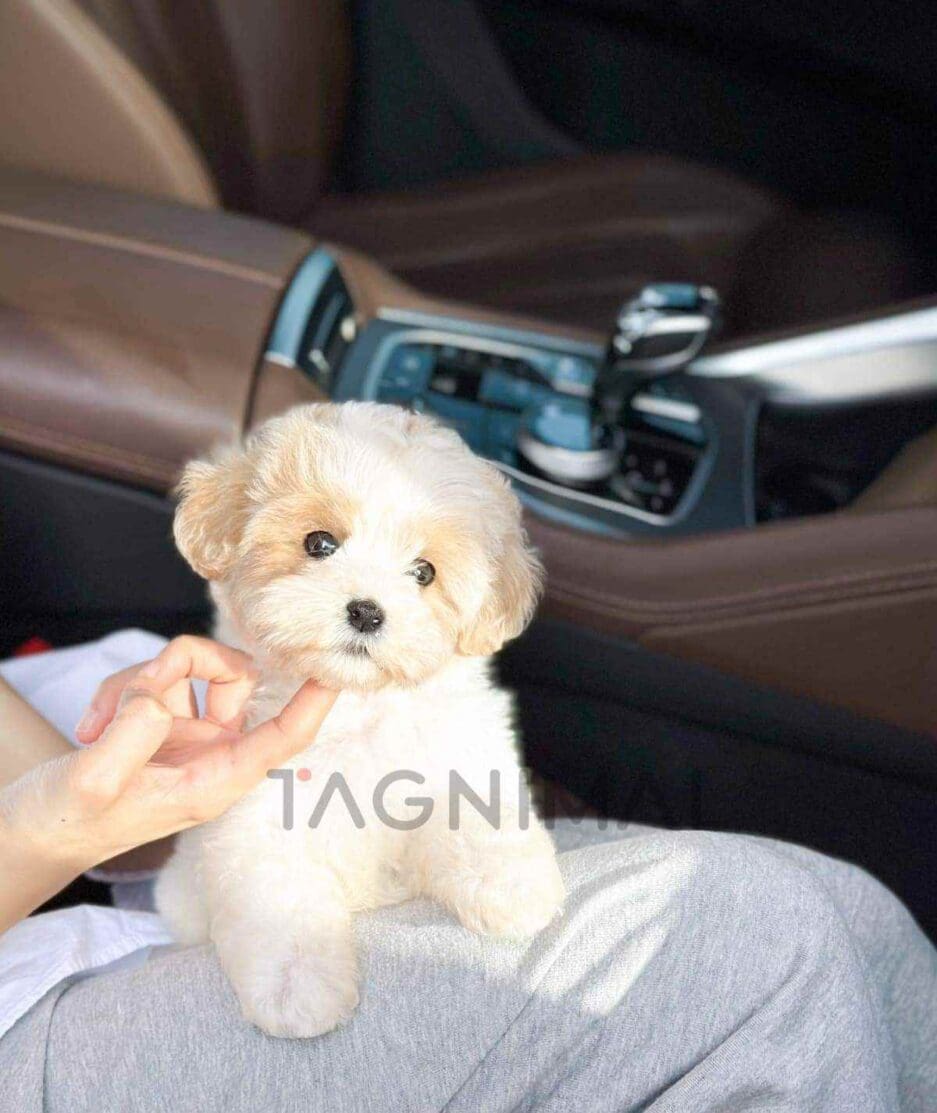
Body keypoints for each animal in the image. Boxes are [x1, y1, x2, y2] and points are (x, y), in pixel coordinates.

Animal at [155, 401, 565, 1038]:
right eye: (319, 543)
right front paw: (298, 986)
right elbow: (282, 902)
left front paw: (512, 885)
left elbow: (477, 806)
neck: (360, 703)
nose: (367, 612)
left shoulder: (461, 747)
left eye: (424, 573)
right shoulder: (257, 814)